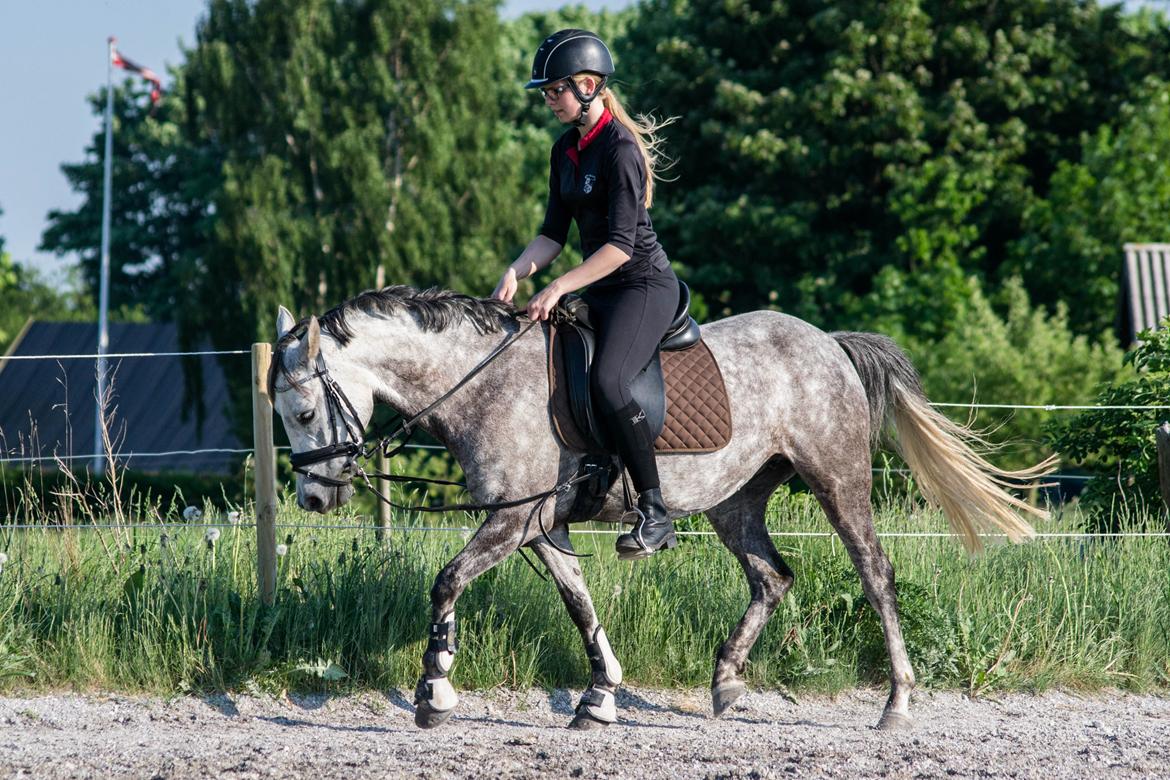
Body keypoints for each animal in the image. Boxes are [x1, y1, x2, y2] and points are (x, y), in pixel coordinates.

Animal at [271, 285, 1053, 734]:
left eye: (304, 410)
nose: (314, 497)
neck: (484, 382)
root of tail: (827, 342)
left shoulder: (511, 521)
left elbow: (447, 581)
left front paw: (435, 689)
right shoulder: (539, 524)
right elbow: (579, 603)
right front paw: (600, 697)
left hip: (838, 480)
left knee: (875, 575)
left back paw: (896, 703)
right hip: (736, 501)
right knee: (772, 578)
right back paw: (727, 681)